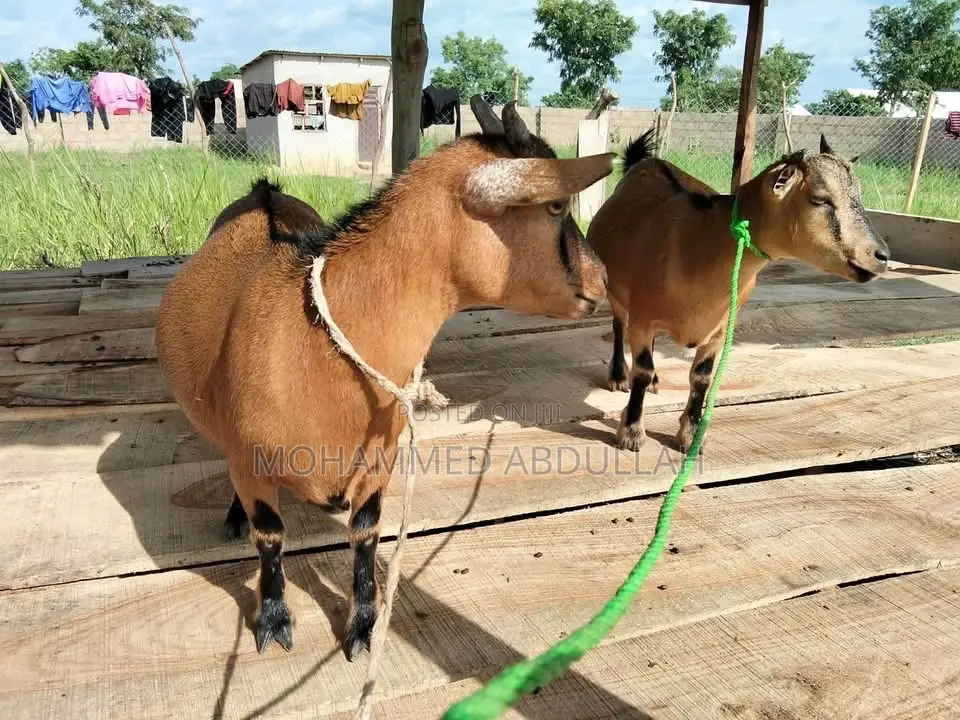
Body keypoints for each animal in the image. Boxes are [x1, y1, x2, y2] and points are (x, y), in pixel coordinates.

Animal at [155, 97, 614, 659]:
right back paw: (233, 515)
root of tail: (264, 191)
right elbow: (270, 538)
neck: (316, 343)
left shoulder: (378, 461)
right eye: (555, 207)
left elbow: (365, 532)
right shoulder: (251, 460)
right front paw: (273, 618)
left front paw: (364, 625)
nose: (604, 280)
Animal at [586, 130, 890, 453]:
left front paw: (691, 436)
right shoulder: (644, 316)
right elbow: (641, 371)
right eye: (820, 199)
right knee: (620, 326)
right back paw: (620, 376)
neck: (697, 245)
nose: (881, 255)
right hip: (619, 295)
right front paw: (631, 432)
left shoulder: (720, 327)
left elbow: (702, 377)